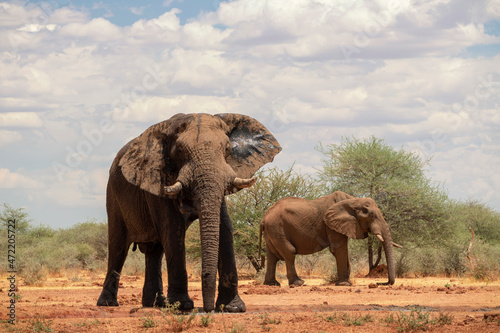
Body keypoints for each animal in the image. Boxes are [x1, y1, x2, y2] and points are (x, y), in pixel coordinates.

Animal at [94, 113, 282, 312]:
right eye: (180, 150)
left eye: (227, 149)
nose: (208, 309)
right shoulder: (159, 179)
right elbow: (173, 229)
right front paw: (182, 305)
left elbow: (224, 227)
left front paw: (233, 308)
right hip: (112, 194)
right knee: (118, 247)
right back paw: (107, 303)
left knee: (155, 251)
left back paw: (155, 304)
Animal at [260, 191, 400, 286]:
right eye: (371, 216)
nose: (380, 283)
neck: (353, 200)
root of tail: (264, 217)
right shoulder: (331, 225)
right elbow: (339, 249)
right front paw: (344, 284)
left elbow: (343, 250)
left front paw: (346, 281)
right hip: (277, 228)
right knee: (289, 252)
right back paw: (298, 283)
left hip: (272, 231)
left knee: (272, 256)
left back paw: (272, 284)